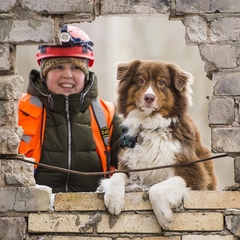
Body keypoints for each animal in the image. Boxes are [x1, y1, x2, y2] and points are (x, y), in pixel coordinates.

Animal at [99, 59, 218, 230]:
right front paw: (114, 199)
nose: (149, 97)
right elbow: (117, 175)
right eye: (141, 80)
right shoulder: (128, 164)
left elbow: (156, 189)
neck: (150, 126)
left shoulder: (197, 174)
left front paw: (164, 217)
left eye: (161, 83)